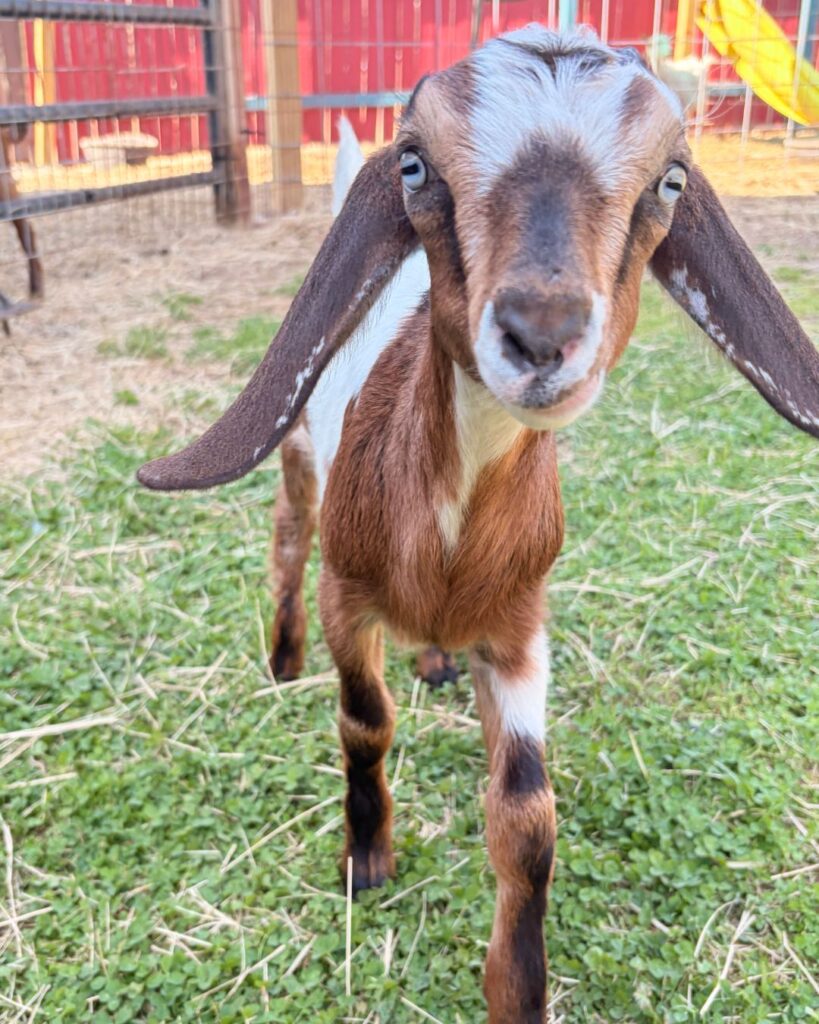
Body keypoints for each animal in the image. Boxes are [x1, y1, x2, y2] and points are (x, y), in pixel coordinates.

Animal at [137, 26, 819, 1022]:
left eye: (669, 182)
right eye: (415, 166)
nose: (540, 334)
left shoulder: (522, 629)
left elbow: (527, 816)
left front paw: (517, 991)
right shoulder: (350, 597)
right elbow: (364, 723)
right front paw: (367, 860)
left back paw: (432, 658)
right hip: (300, 460)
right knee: (287, 538)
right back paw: (282, 658)